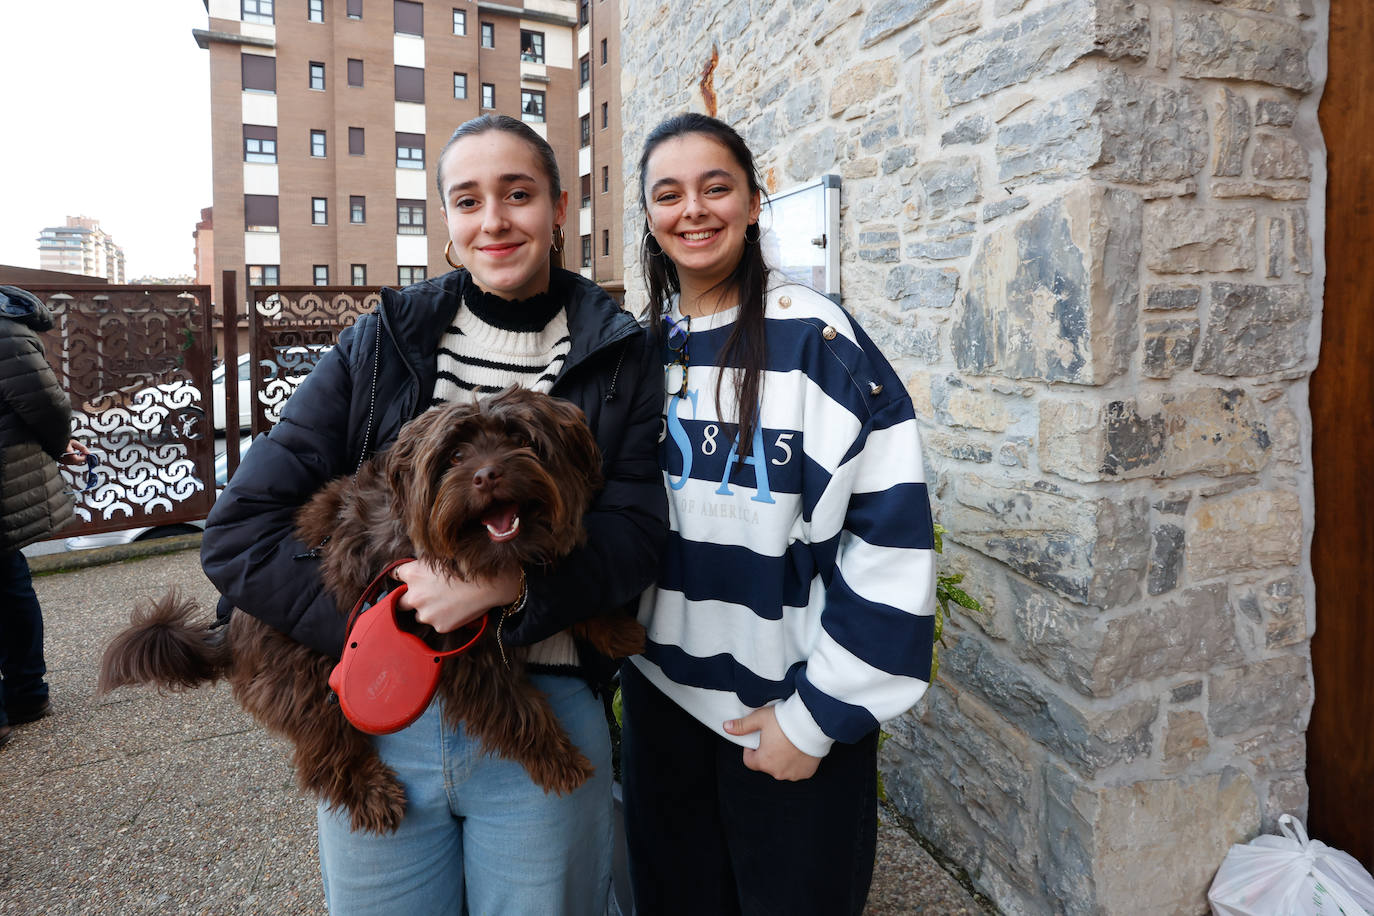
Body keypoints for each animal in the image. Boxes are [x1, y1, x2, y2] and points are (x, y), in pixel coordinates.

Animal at [99, 387, 645, 829]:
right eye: (455, 455)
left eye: (520, 439)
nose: (488, 474)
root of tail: (229, 630)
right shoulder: (455, 644)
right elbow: (516, 707)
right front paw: (561, 760)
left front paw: (616, 629)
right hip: (305, 678)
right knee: (324, 753)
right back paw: (371, 793)